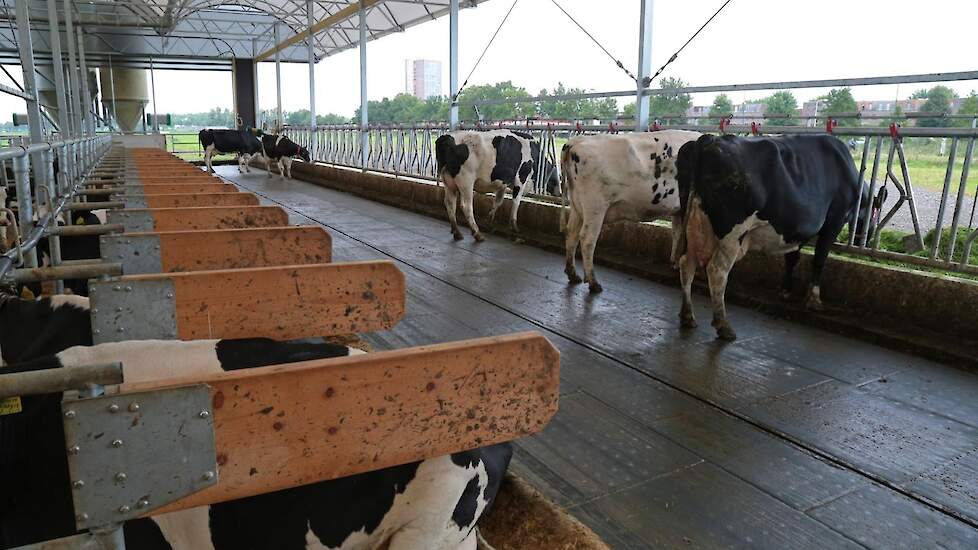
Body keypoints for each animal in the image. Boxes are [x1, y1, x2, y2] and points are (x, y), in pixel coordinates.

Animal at [556, 130, 700, 294]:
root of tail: (576, 141)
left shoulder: (678, 209)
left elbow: (677, 233)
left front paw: (674, 262)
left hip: (577, 206)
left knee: (572, 234)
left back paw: (573, 274)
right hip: (595, 207)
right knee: (587, 239)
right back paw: (593, 283)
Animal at [676, 134, 872, 340]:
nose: (863, 240)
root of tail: (710, 139)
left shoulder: (795, 230)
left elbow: (792, 257)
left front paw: (786, 290)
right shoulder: (835, 219)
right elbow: (819, 259)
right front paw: (814, 299)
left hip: (693, 224)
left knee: (687, 264)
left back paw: (688, 316)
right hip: (732, 233)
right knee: (716, 270)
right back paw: (723, 325)